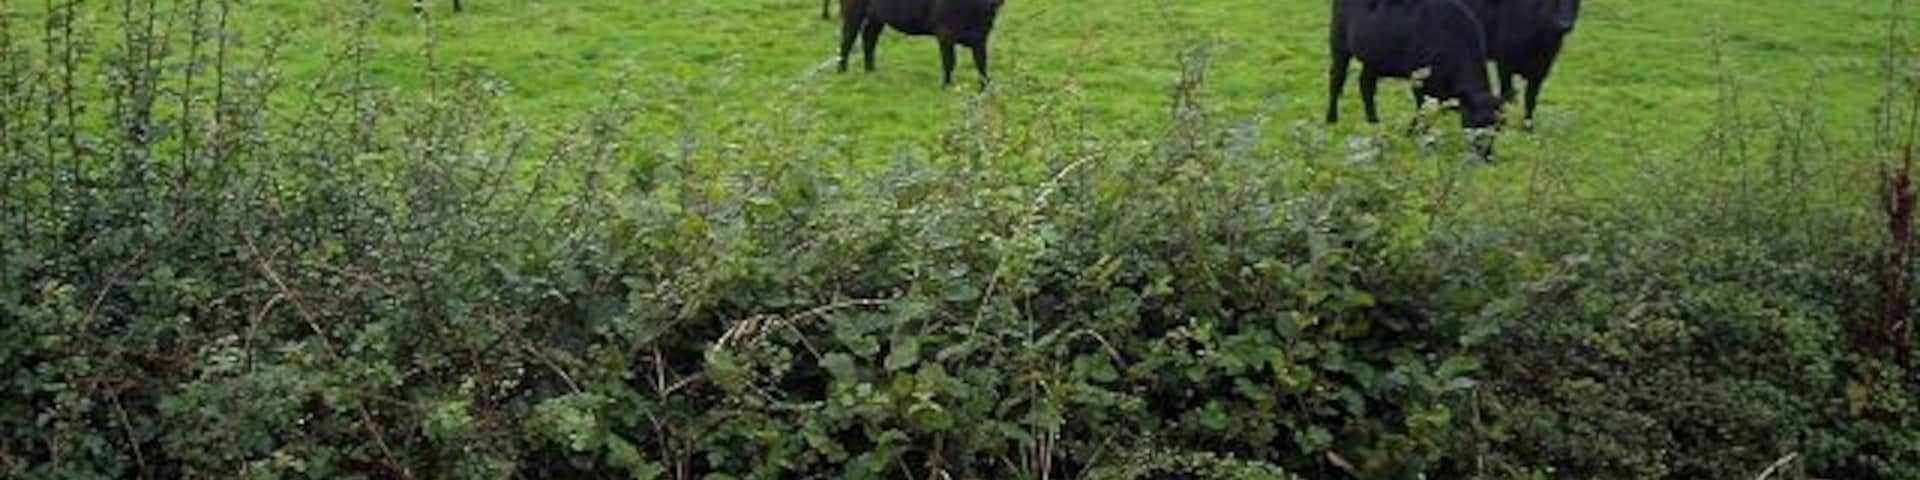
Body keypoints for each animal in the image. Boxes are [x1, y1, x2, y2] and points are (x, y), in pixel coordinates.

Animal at [837, 0, 1005, 89]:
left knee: (869, 38)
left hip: (877, 16)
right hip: (853, 9)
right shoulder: (945, 32)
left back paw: (870, 72)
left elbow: (981, 63)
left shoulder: (981, 36)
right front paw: (946, 86)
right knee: (847, 39)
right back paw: (842, 72)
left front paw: (985, 88)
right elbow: (949, 62)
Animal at [1327, 0, 1502, 155]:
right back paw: (1331, 120)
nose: (1486, 155)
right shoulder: (1420, 80)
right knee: (1336, 79)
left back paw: (1374, 122)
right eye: (1475, 122)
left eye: (1497, 126)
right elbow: (1423, 110)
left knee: (1366, 85)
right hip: (1339, 42)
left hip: (1373, 58)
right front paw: (1411, 135)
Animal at [1470, 0, 1580, 130]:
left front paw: (1528, 127)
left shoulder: (1540, 71)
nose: (1564, 24)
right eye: (1551, 1)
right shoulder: (1504, 65)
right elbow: (1507, 94)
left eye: (1575, 1)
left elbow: (1530, 99)